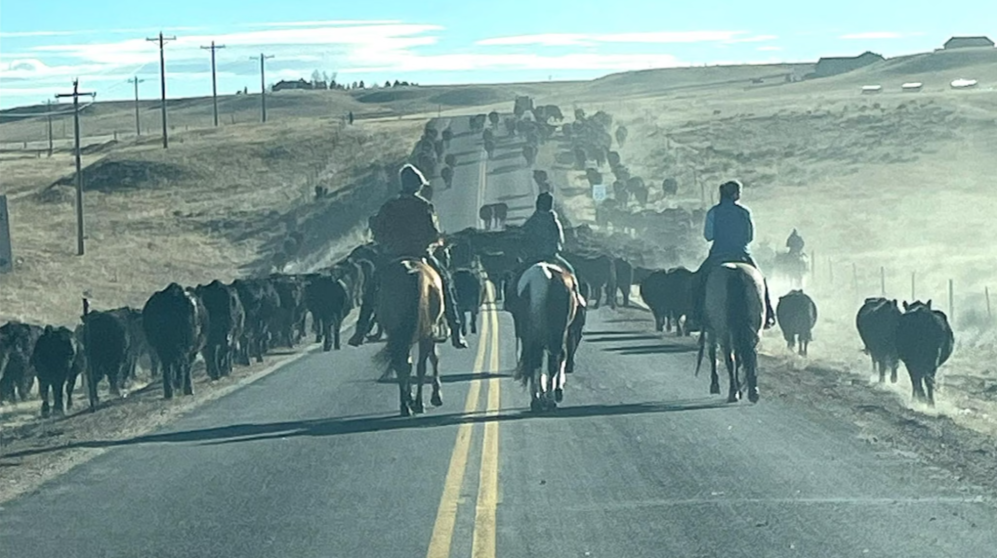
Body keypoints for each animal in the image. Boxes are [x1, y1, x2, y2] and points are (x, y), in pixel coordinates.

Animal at [376, 258, 446, 416]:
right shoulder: (430, 334)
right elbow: (434, 359)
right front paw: (436, 396)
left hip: (399, 335)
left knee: (404, 366)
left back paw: (407, 405)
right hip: (424, 334)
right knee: (418, 366)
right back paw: (417, 403)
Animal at [510, 262, 580, 412]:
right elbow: (560, 358)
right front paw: (557, 391)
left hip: (530, 336)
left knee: (534, 362)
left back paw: (536, 400)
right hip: (555, 336)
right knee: (553, 362)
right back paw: (549, 400)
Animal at [696, 264, 768, 404]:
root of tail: (738, 272)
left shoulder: (713, 331)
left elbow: (714, 354)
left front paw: (715, 385)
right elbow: (739, 359)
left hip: (724, 333)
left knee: (729, 359)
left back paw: (733, 392)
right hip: (755, 330)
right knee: (751, 354)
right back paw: (753, 392)